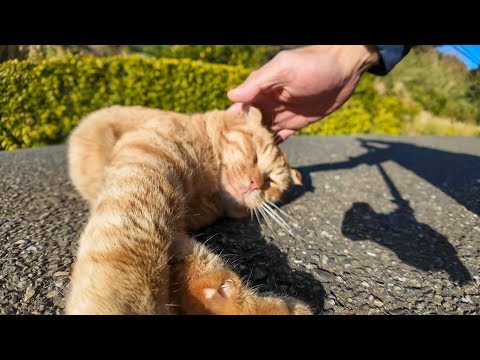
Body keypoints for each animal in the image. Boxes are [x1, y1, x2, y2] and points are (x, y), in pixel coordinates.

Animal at [64, 105, 312, 316]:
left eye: (271, 182)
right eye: (255, 155)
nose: (256, 183)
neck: (207, 192)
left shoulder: (176, 231)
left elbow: (196, 260)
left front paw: (224, 299)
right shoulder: (147, 171)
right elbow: (125, 251)